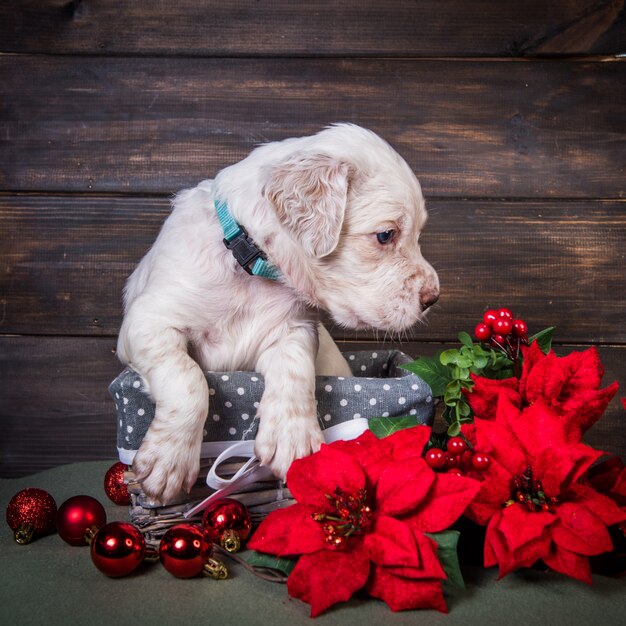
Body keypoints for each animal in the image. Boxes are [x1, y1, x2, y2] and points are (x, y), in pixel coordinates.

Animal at [118, 124, 438, 500]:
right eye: (386, 235)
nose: (433, 297)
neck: (249, 264)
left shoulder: (295, 328)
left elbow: (295, 368)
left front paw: (291, 437)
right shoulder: (148, 321)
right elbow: (187, 377)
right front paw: (167, 461)